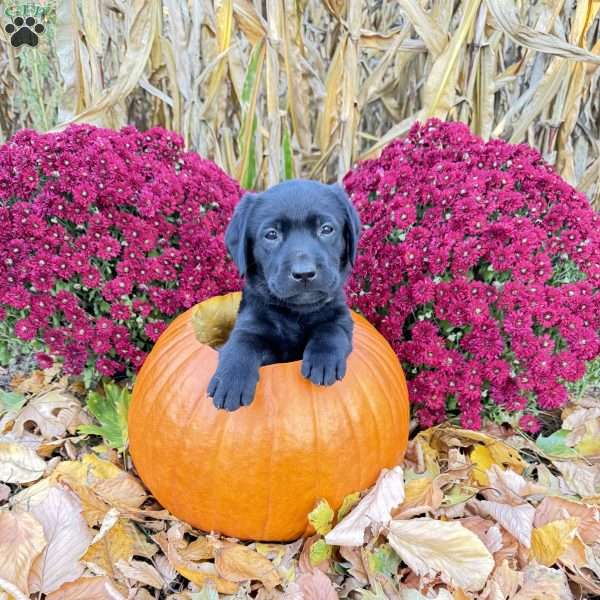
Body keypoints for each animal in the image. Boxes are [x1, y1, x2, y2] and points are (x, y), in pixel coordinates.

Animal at [209, 180, 360, 410]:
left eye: (326, 229)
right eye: (271, 234)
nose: (304, 273)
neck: (295, 313)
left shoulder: (340, 315)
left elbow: (331, 328)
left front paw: (324, 360)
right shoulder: (251, 324)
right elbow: (241, 343)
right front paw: (230, 380)